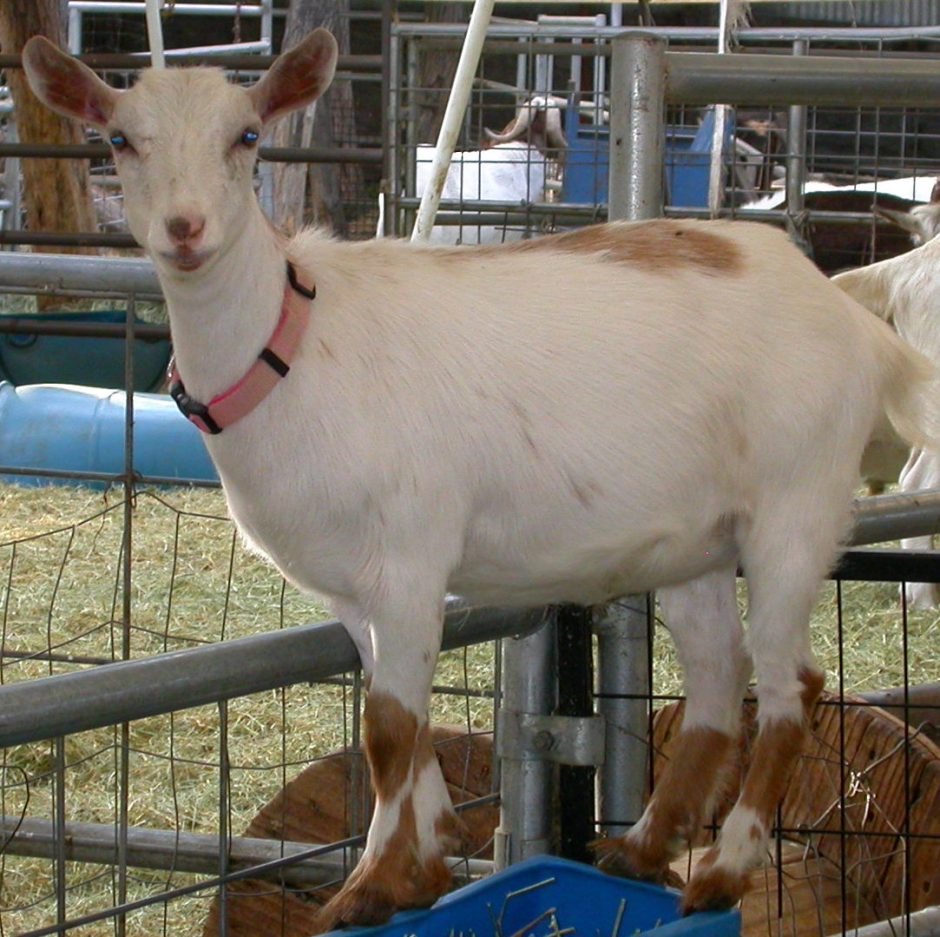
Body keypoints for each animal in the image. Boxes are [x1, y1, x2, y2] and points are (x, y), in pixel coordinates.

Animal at [24, 29, 938, 928]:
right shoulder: (354, 589)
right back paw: (642, 848)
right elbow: (402, 718)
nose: (186, 228)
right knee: (720, 673)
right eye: (118, 139)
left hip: (795, 505)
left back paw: (725, 867)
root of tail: (854, 321)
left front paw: (366, 887)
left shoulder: (410, 553)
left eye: (246, 136)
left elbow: (387, 728)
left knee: (793, 683)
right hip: (698, 541)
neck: (296, 342)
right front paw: (424, 866)